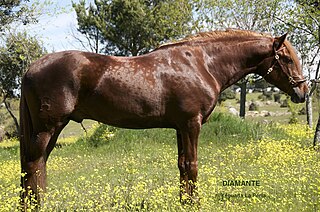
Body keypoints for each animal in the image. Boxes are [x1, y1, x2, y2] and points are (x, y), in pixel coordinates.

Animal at [19, 29, 308, 208]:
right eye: (285, 58)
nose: (302, 92)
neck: (202, 64)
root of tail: (31, 68)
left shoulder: (180, 127)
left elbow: (182, 165)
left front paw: (184, 202)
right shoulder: (192, 124)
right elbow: (192, 165)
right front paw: (195, 204)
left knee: (37, 166)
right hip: (47, 128)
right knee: (33, 166)